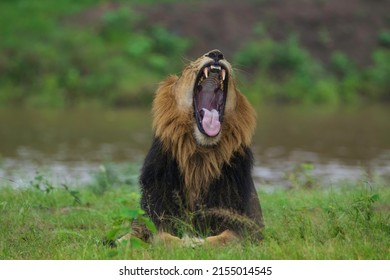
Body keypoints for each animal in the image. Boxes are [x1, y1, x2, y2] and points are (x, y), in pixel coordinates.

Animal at [122, 49, 262, 246]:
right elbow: (161, 237)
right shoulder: (154, 214)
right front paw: (184, 243)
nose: (216, 53)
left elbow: (224, 239)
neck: (200, 155)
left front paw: (197, 243)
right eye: (188, 67)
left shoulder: (249, 226)